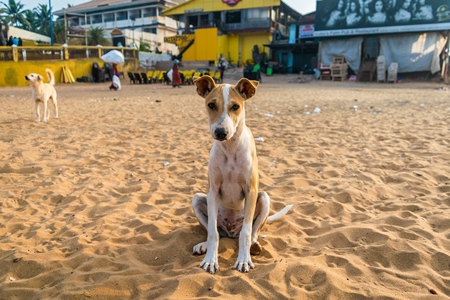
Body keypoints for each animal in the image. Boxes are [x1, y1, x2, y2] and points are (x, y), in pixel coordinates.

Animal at [192, 75, 294, 274]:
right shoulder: (212, 191)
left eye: (235, 107)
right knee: (216, 230)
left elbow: (246, 233)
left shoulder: (251, 191)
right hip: (198, 198)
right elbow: (212, 233)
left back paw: (253, 245)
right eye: (211, 105)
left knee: (252, 232)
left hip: (264, 197)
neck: (230, 148)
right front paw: (210, 260)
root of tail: (232, 231)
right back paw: (203, 245)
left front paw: (243, 260)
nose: (221, 133)